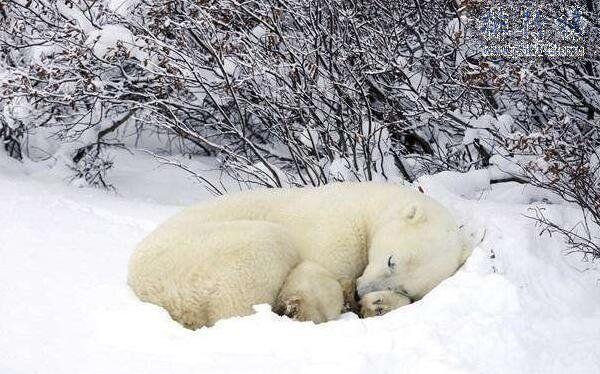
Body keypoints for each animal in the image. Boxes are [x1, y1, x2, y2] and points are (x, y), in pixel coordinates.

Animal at [129, 183, 472, 328]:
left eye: (404, 286)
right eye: (391, 260)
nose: (361, 291)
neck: (367, 206)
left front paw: (378, 305)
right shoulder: (336, 228)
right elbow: (316, 272)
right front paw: (306, 306)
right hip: (199, 256)